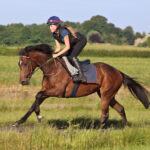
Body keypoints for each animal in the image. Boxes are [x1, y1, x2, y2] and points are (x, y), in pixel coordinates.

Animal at [12, 44, 149, 127]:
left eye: (25, 64)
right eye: (18, 64)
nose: (23, 81)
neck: (51, 68)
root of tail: (118, 72)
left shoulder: (58, 91)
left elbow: (37, 95)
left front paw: (40, 117)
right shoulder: (47, 91)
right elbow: (34, 103)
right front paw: (18, 122)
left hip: (106, 94)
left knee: (105, 113)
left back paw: (96, 129)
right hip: (107, 94)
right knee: (120, 108)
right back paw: (125, 127)